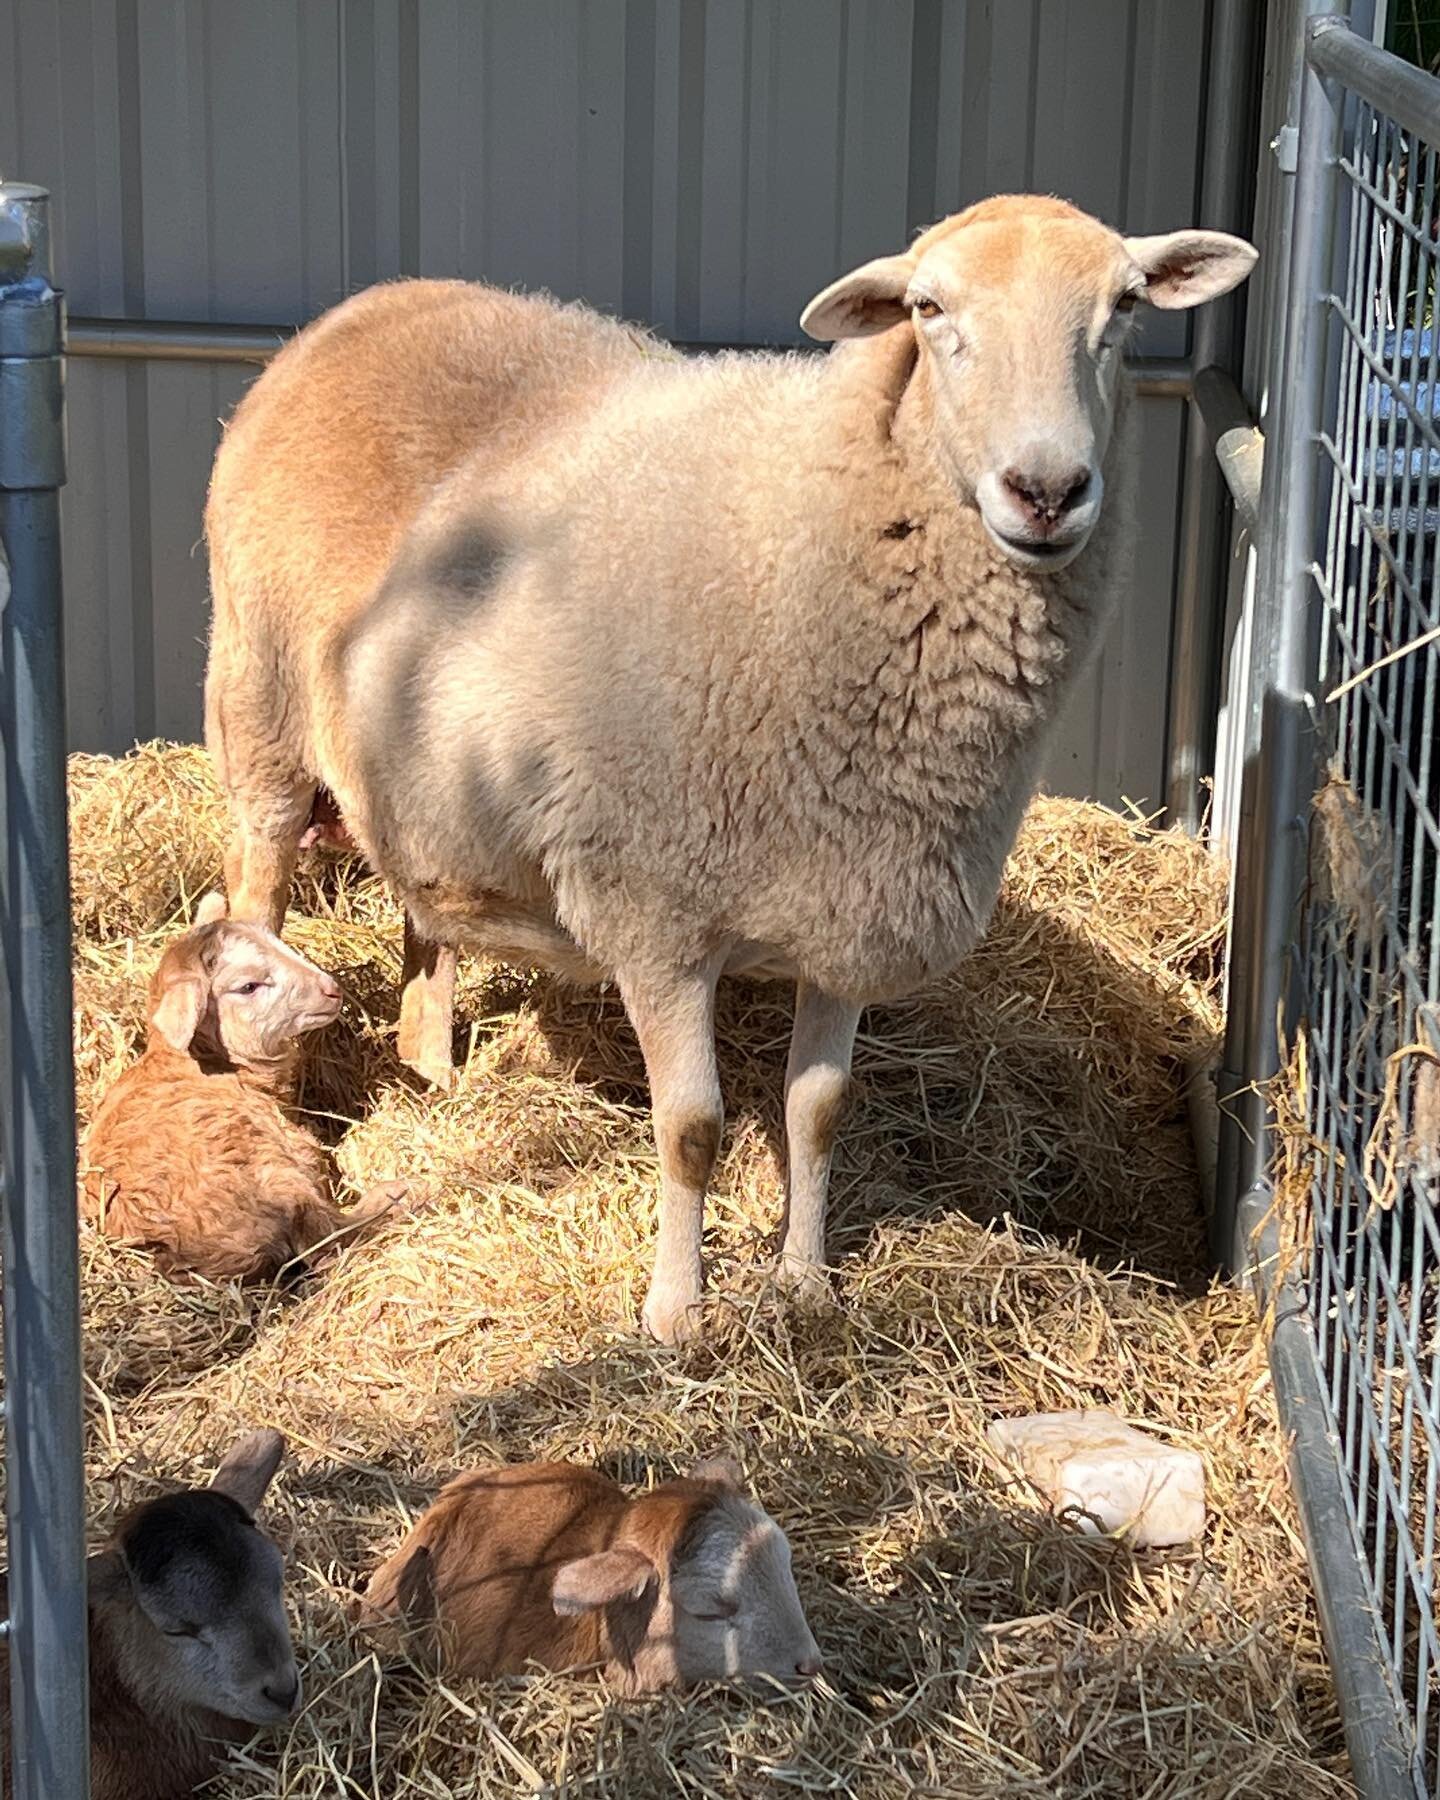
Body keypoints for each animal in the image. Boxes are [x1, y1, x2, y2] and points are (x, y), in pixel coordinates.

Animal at [199, 200, 1245, 1353]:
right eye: (930, 311)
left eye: (1127, 306)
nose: (1048, 491)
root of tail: (360, 309)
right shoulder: (657, 915)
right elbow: (692, 1129)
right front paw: (676, 1312)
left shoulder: (851, 904)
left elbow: (818, 1110)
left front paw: (805, 1286)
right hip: (258, 707)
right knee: (256, 894)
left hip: (422, 778)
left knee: (426, 926)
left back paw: (435, 1078)